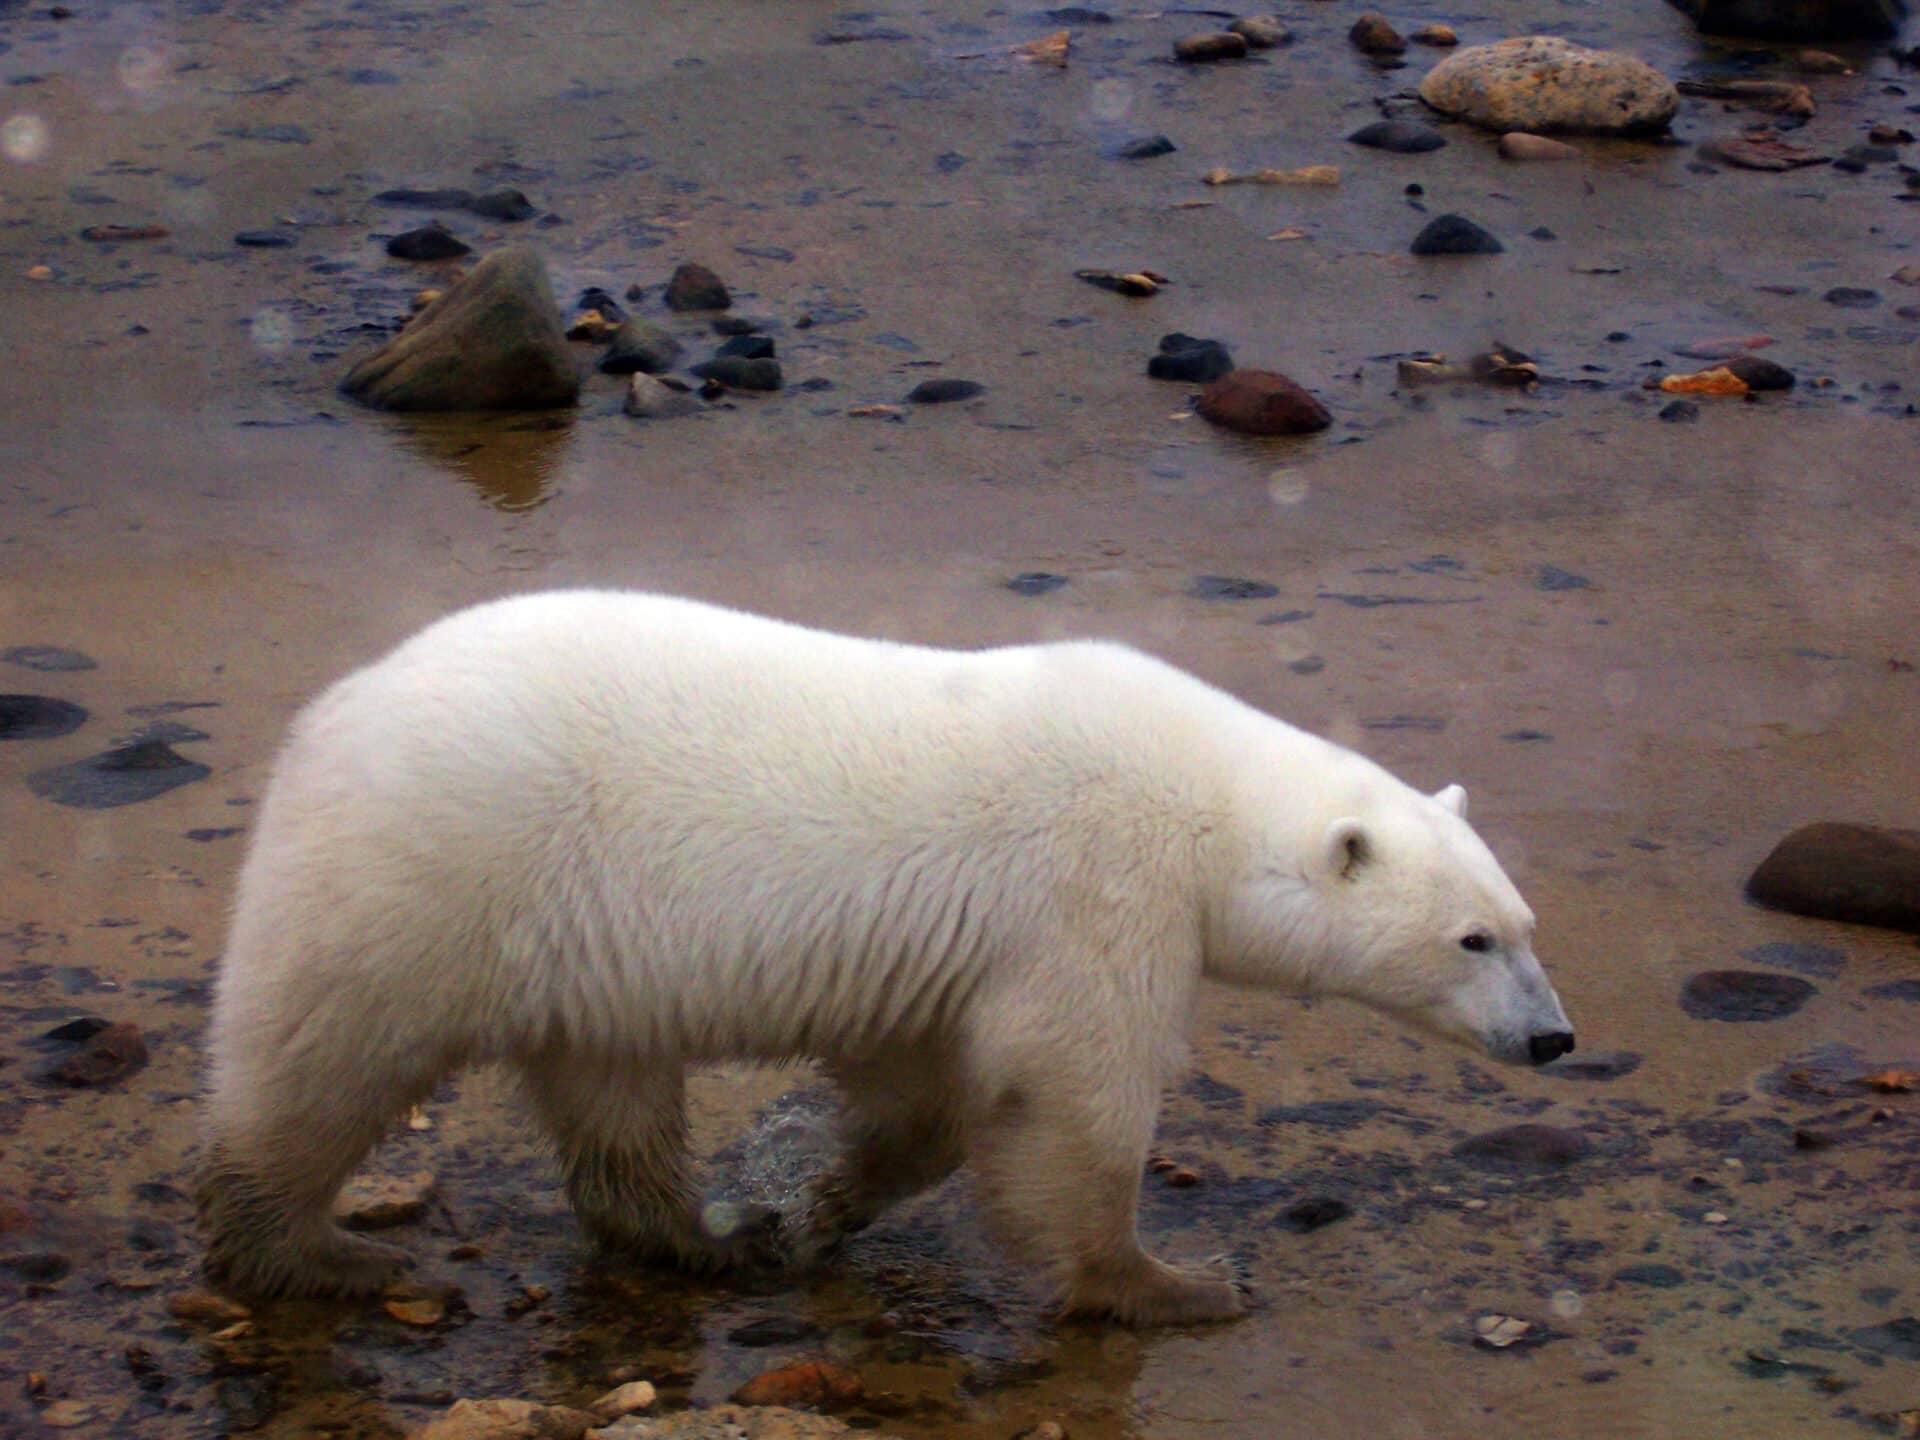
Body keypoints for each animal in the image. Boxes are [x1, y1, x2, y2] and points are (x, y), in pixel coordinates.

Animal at [196, 590, 1573, 1324]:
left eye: (1528, 926)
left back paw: (703, 1237)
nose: (1555, 1035)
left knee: (610, 1084)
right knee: (323, 1058)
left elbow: (924, 1094)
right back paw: (317, 1250)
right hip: (439, 865)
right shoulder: (1095, 889)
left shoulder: (964, 956)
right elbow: (1069, 1090)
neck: (1207, 799)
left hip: (569, 939)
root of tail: (330, 713)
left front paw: (815, 1211)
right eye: (1473, 937)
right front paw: (1177, 1282)